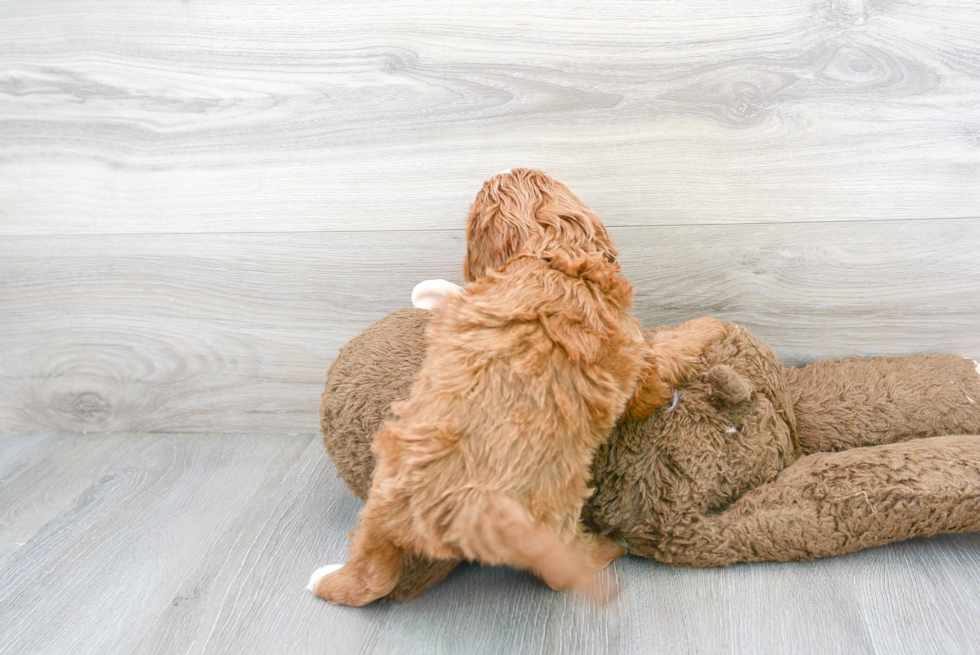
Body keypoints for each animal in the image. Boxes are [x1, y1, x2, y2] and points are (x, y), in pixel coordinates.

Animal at [310, 168, 724, 604]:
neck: (546, 254)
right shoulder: (635, 360)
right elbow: (665, 353)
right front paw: (709, 326)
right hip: (555, 505)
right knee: (561, 568)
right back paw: (606, 549)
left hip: (379, 499)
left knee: (368, 571)